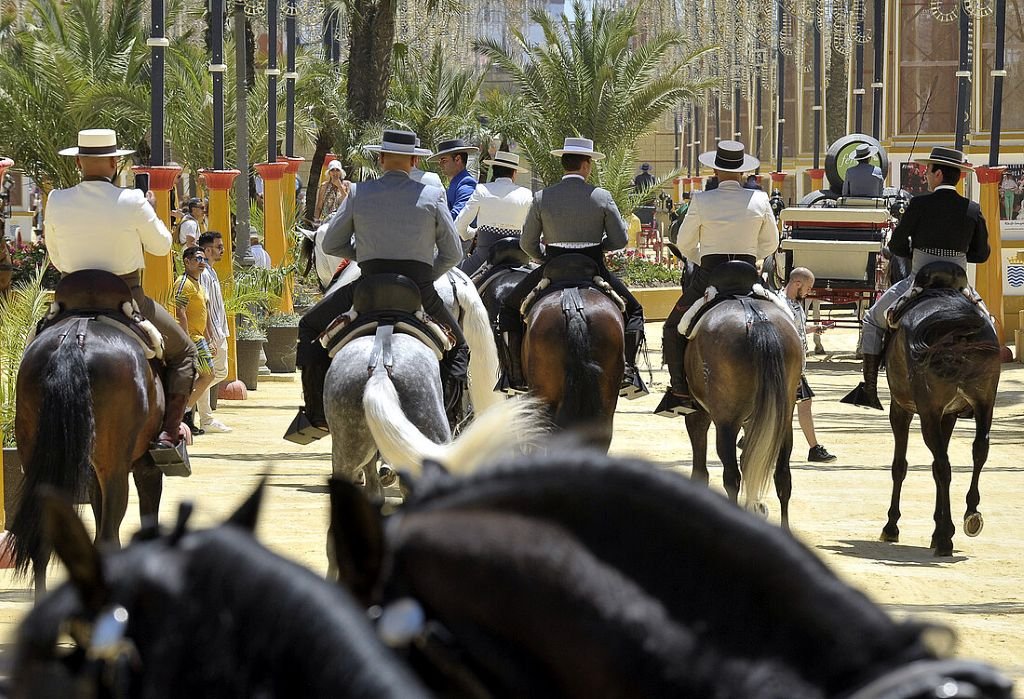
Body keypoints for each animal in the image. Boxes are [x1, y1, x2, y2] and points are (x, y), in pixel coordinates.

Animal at [681, 291, 803, 523]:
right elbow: (750, 459)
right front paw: (756, 507)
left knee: (731, 477)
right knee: (783, 477)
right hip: (783, 423)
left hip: (726, 424)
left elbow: (701, 470)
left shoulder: (698, 414)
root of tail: (757, 319)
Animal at [879, 262, 1001, 556]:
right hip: (985, 403)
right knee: (979, 450)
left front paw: (892, 526)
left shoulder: (902, 411)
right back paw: (971, 514)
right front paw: (939, 526)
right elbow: (935, 466)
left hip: (927, 414)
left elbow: (900, 466)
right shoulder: (949, 415)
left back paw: (946, 538)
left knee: (944, 465)